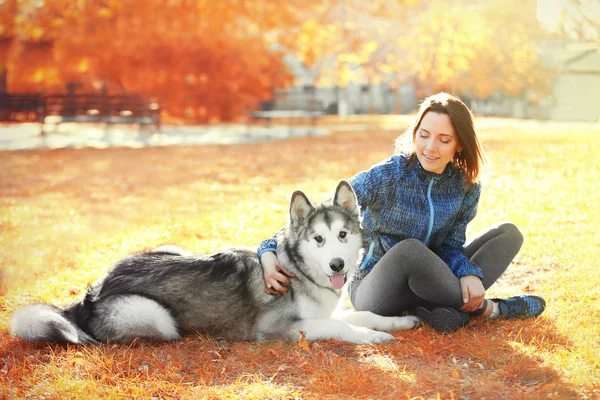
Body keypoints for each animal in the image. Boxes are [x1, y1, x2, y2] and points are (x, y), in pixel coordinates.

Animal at [11, 181, 420, 344]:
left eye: (343, 236)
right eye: (318, 240)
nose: (336, 265)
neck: (298, 271)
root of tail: (93, 291)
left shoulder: (327, 311)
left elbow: (364, 314)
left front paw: (398, 322)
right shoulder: (280, 329)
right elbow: (343, 327)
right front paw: (373, 338)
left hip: (171, 247)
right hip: (158, 319)